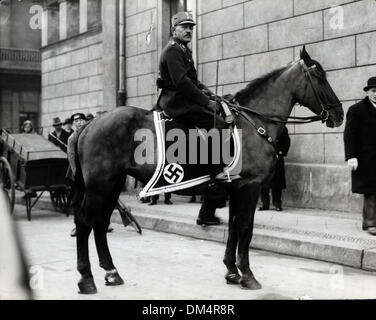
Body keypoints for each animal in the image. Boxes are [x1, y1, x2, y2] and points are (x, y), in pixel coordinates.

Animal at [73, 46, 344, 294]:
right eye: (320, 77)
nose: (339, 114)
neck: (253, 123)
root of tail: (90, 123)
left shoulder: (236, 188)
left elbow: (233, 227)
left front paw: (232, 271)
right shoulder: (250, 187)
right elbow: (245, 228)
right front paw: (247, 275)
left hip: (113, 184)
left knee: (100, 222)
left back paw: (111, 272)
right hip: (100, 186)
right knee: (85, 222)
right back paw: (86, 279)